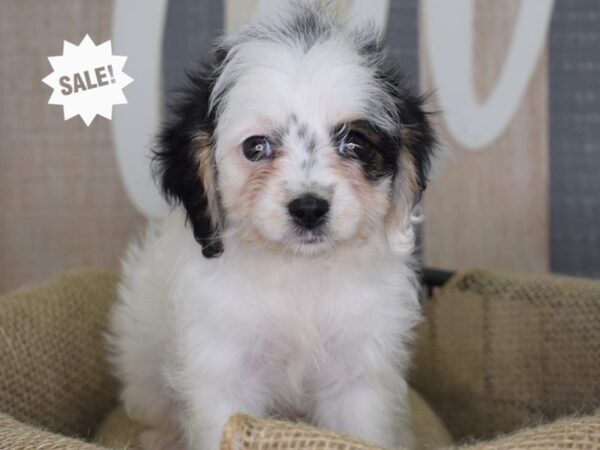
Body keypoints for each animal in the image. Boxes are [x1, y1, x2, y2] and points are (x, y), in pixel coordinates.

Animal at [109, 1, 436, 448]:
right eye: (255, 147)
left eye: (355, 144)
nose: (309, 208)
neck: (300, 272)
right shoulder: (224, 370)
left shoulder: (358, 372)